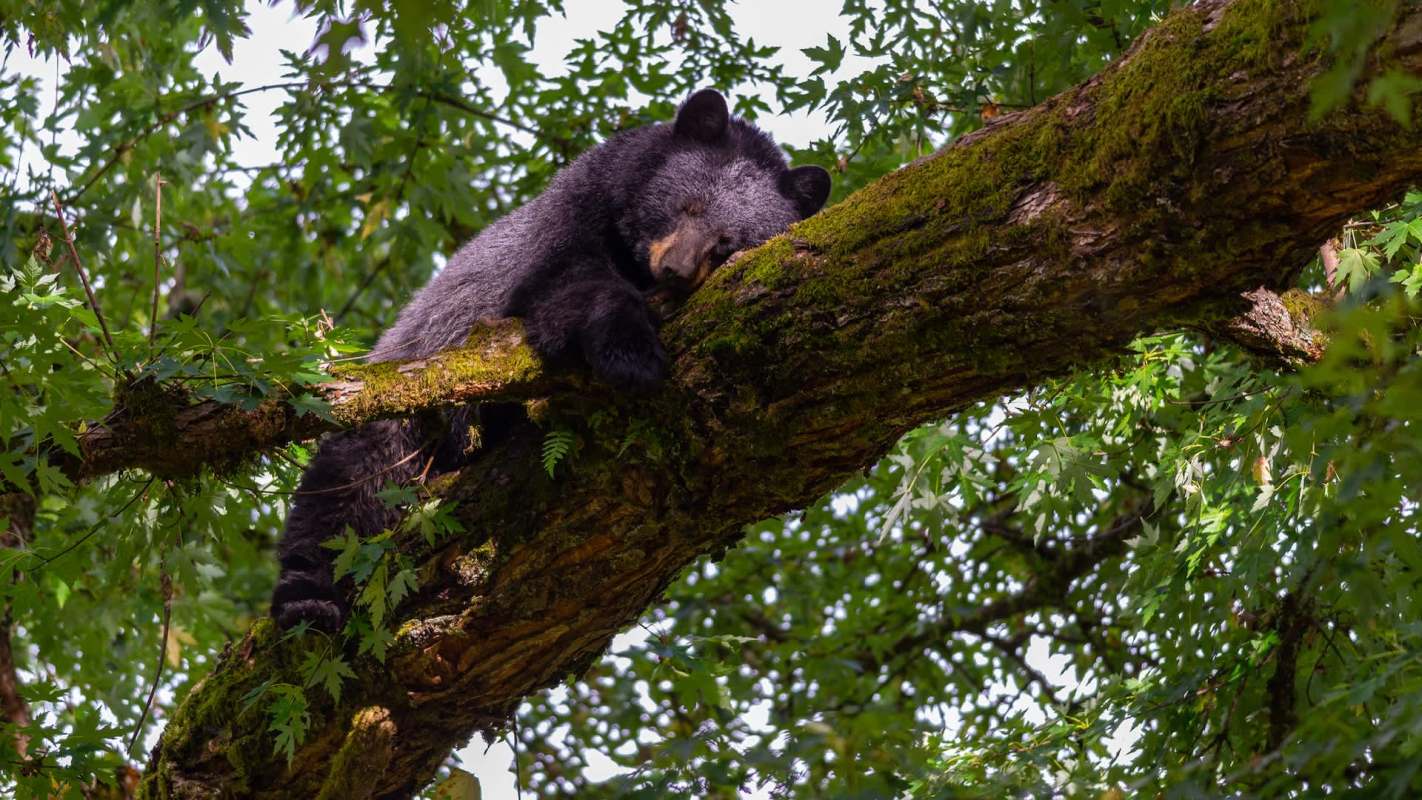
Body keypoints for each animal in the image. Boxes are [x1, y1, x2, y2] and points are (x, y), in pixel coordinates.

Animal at [271, 88, 832, 631]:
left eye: (725, 243)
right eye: (688, 205)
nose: (674, 269)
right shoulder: (566, 222)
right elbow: (568, 286)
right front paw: (631, 353)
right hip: (398, 400)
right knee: (346, 490)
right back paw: (308, 600)